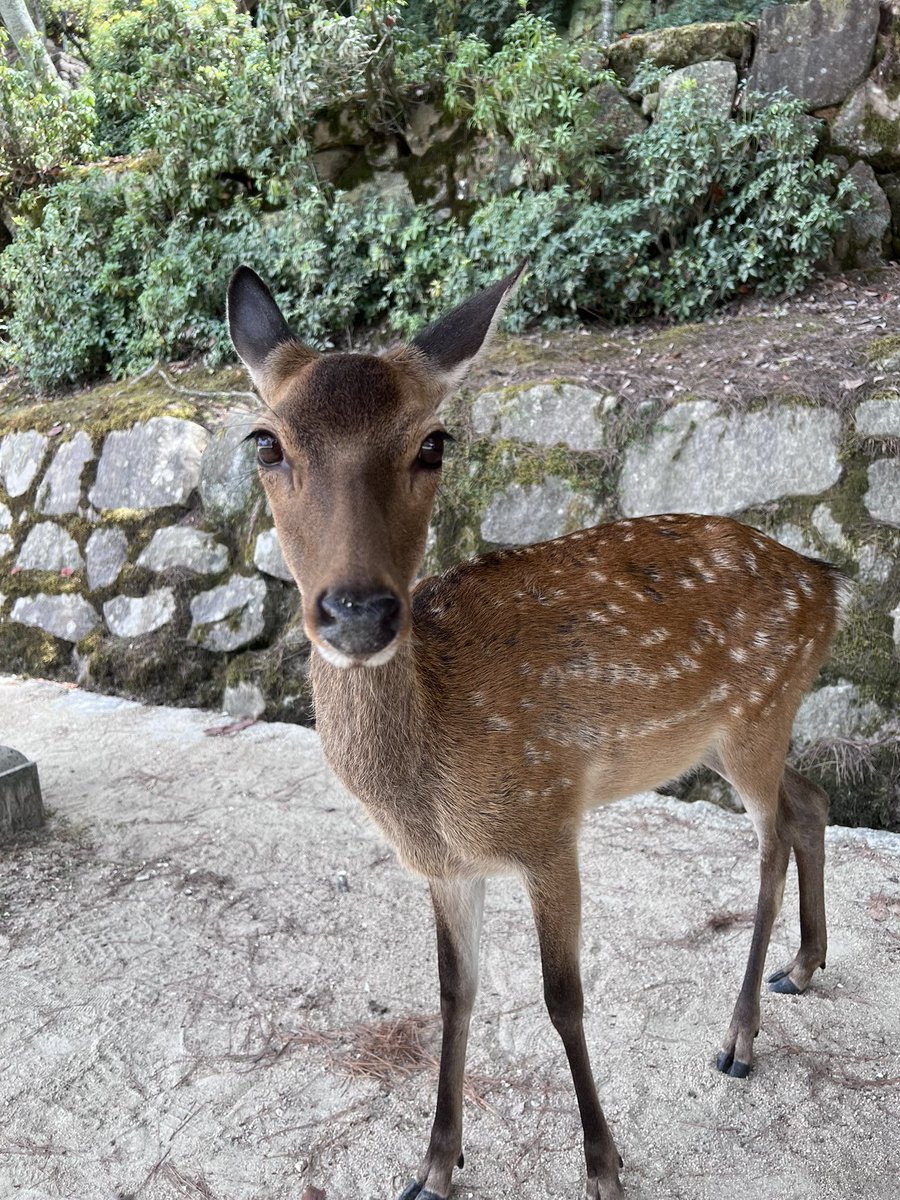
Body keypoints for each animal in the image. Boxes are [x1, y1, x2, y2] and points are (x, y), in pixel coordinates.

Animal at [227, 262, 848, 1200]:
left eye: (434, 443)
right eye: (264, 443)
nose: (358, 611)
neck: (434, 779)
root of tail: (829, 582)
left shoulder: (548, 821)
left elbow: (564, 997)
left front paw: (603, 1166)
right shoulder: (446, 867)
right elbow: (455, 992)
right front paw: (435, 1165)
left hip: (756, 714)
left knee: (770, 847)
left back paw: (739, 1039)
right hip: (737, 731)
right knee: (810, 801)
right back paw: (804, 967)